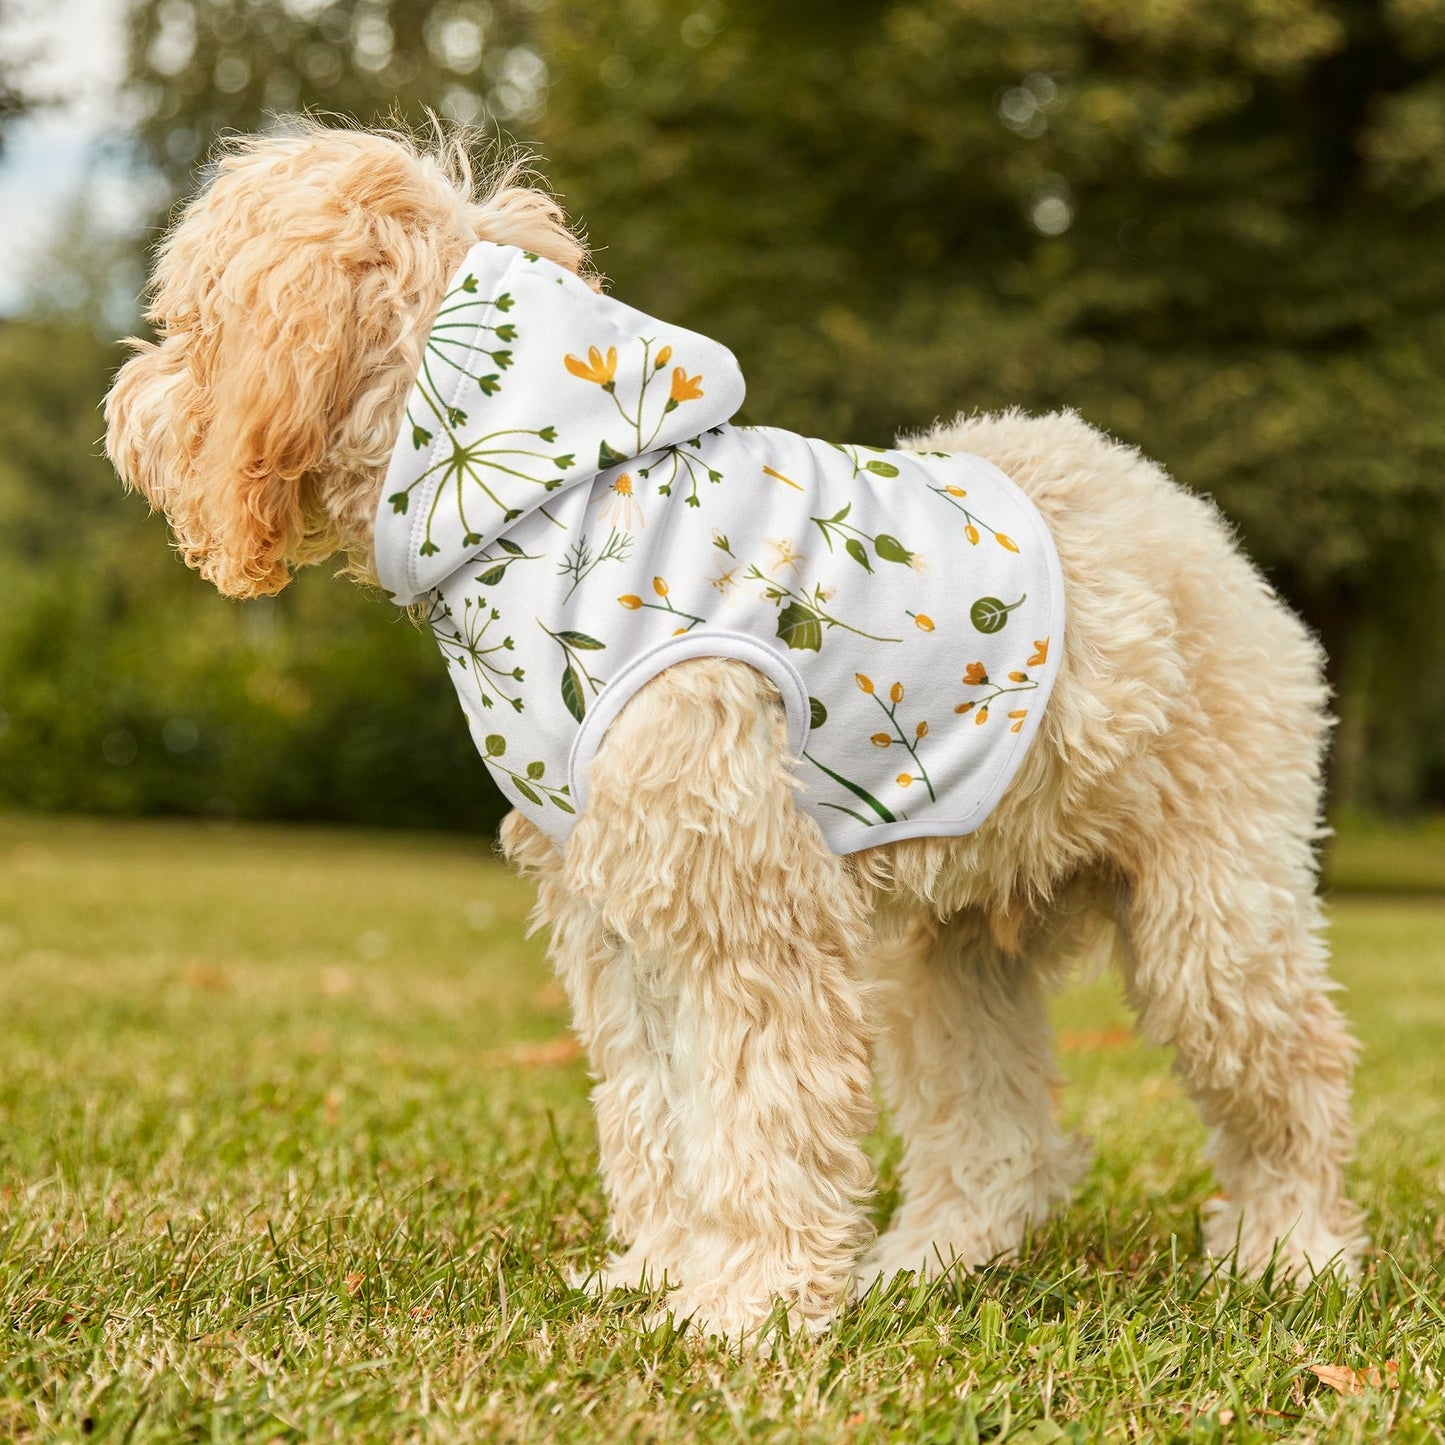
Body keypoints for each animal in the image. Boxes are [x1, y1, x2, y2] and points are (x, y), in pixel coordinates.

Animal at [104, 124, 1364, 1340]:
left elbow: (759, 1110)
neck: (543, 505)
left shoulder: (745, 908)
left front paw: (747, 1305)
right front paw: (661, 1273)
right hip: (948, 948)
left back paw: (1290, 1252)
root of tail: (1184, 517)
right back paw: (928, 1261)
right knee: (995, 1133)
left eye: (189, 320)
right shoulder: (617, 912)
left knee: (1292, 1073)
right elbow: (655, 1111)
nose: (123, 407)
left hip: (1211, 913)